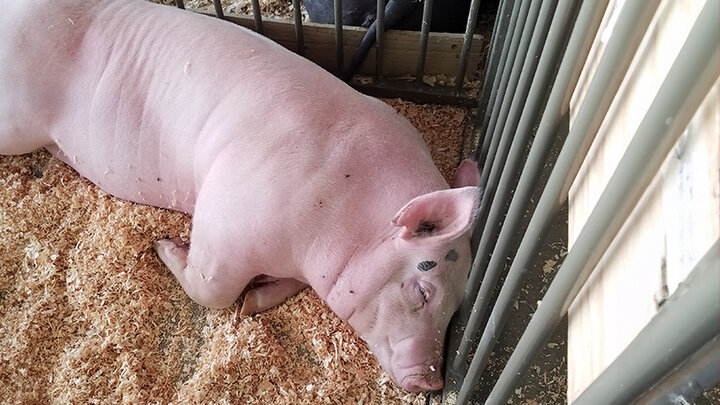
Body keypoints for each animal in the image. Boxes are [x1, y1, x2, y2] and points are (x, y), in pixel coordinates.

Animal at [1, 0, 484, 392]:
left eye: (459, 299)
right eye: (423, 291)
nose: (433, 381)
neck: (341, 213)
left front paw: (254, 301)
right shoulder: (228, 218)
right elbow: (210, 290)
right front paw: (165, 245)